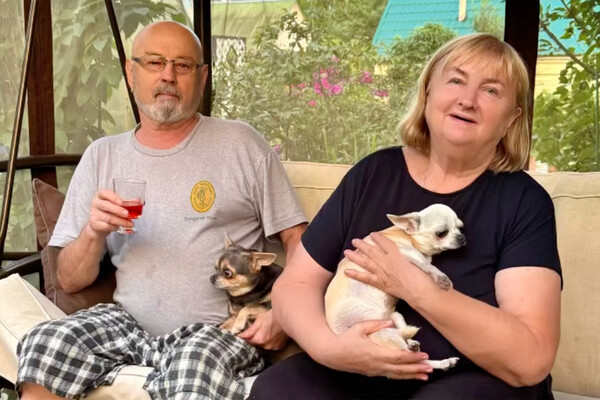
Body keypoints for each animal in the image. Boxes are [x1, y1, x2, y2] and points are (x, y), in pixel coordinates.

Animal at [324, 203, 466, 370]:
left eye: (460, 228)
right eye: (441, 233)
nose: (462, 237)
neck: (406, 234)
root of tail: (338, 333)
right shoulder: (405, 253)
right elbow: (427, 265)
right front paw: (441, 277)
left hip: (395, 317)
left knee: (405, 338)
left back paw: (415, 345)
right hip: (384, 334)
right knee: (417, 360)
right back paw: (441, 361)